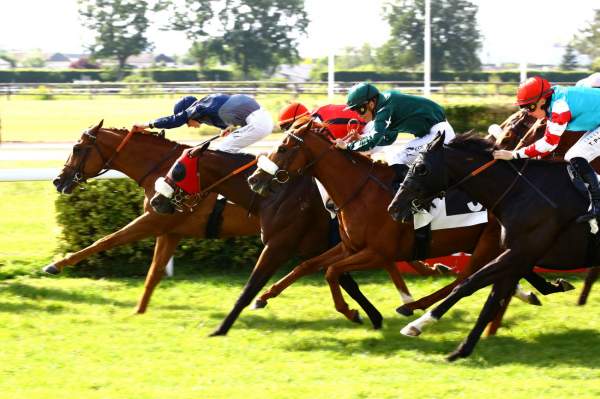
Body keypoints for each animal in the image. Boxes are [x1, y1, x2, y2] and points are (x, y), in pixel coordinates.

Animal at [51, 121, 378, 322]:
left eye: (77, 148)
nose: (58, 180)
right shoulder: (169, 230)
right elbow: (154, 273)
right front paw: (139, 310)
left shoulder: (154, 221)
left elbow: (106, 239)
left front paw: (56, 265)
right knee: (333, 270)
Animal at [245, 120, 568, 326]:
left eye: (283, 148)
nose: (254, 179)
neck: (360, 191)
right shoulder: (351, 247)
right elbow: (308, 265)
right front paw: (263, 296)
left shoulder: (377, 252)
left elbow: (331, 271)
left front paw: (351, 311)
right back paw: (544, 288)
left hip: (487, 242)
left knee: (465, 278)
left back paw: (413, 305)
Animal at [386, 133, 596, 360]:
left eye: (421, 168)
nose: (394, 207)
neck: (520, 192)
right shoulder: (517, 256)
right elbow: (492, 301)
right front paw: (461, 350)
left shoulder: (519, 253)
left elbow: (468, 284)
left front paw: (418, 324)